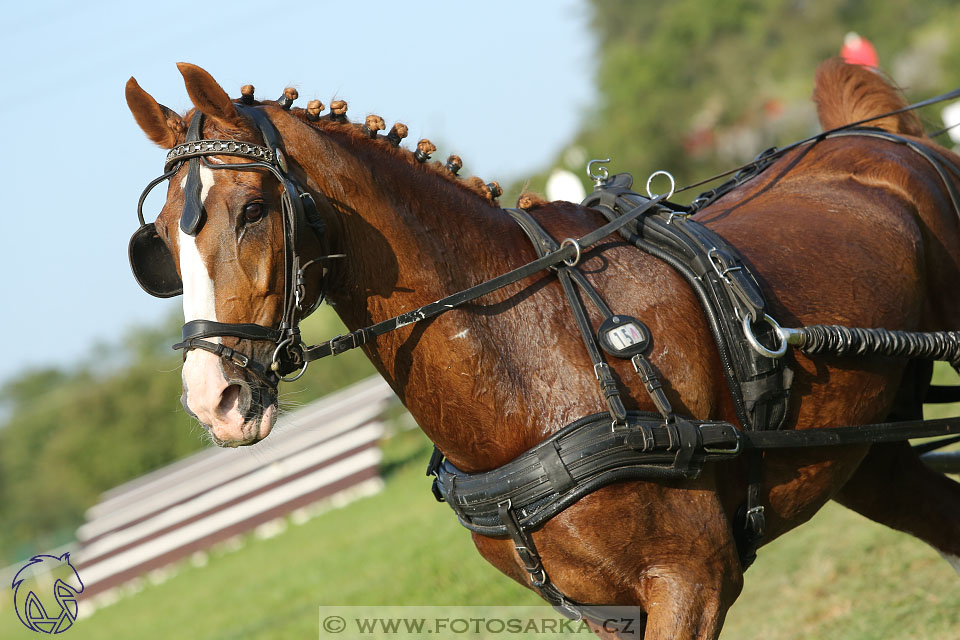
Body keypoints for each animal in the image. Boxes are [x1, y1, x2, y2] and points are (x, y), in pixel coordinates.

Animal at [125, 58, 960, 636]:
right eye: (162, 239)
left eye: (253, 210)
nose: (215, 399)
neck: (533, 358)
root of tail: (881, 138)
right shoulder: (607, 608)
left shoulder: (692, 579)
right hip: (863, 452)